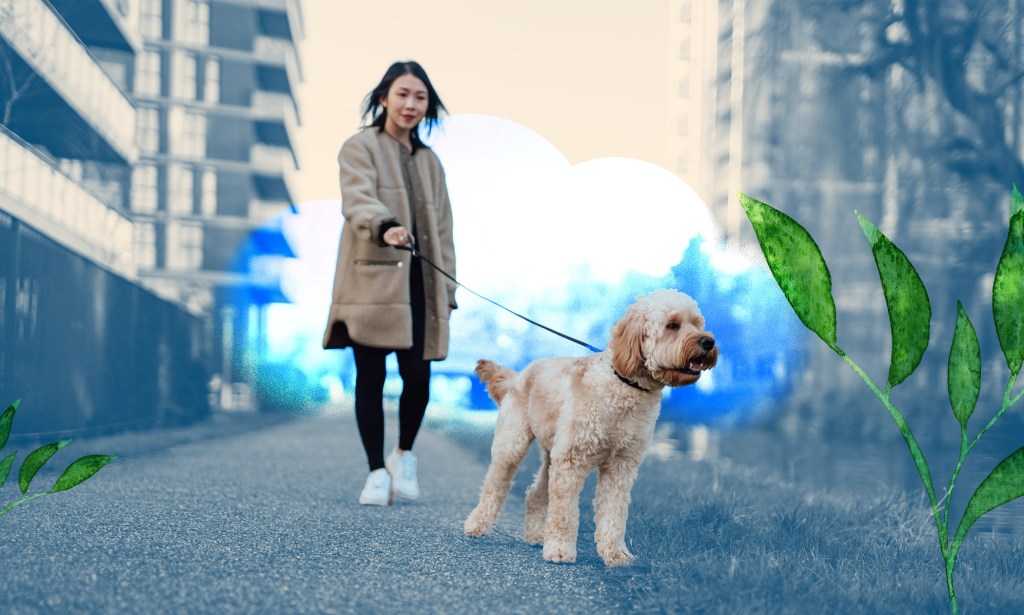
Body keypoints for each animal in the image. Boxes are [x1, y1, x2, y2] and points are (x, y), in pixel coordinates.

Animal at [466, 288, 720, 564]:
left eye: (696, 323)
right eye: (672, 325)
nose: (708, 342)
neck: (624, 384)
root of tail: (518, 375)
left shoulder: (620, 465)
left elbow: (614, 512)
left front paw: (615, 553)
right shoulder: (571, 460)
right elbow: (564, 513)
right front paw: (560, 549)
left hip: (551, 454)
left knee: (534, 493)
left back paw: (535, 535)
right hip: (512, 445)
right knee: (495, 486)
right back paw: (477, 524)